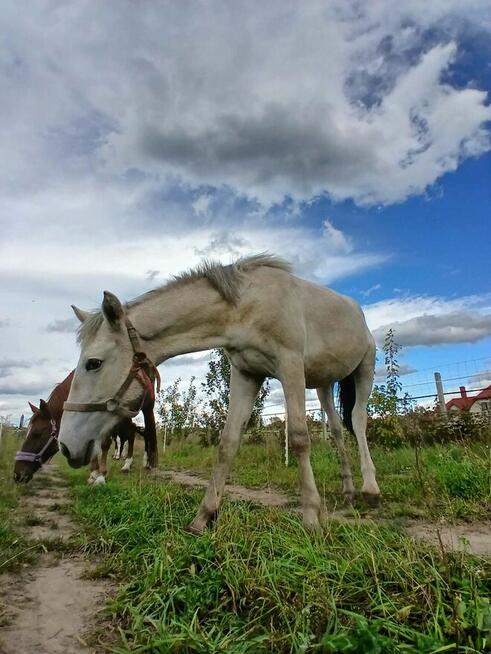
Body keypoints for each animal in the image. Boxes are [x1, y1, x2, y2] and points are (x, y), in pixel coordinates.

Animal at [13, 372, 159, 484]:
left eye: (37, 433)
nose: (17, 475)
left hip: (145, 408)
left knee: (145, 432)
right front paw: (94, 474)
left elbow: (105, 444)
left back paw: (140, 463)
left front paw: (101, 476)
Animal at [58, 254, 380, 536]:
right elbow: (227, 443)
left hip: (364, 369)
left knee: (358, 421)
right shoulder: (246, 374)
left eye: (93, 363)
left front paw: (312, 516)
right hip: (323, 384)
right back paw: (349, 490)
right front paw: (204, 516)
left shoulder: (290, 368)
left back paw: (370, 490)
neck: (248, 305)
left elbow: (300, 438)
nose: (65, 446)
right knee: (337, 429)